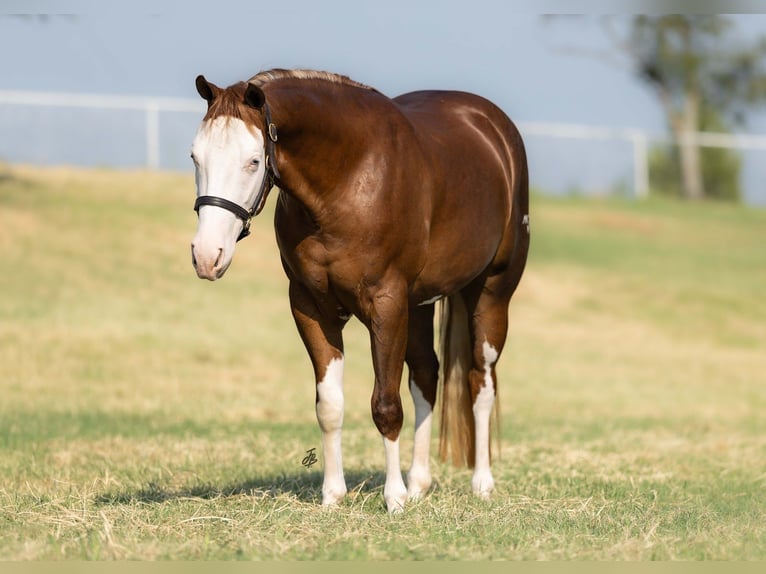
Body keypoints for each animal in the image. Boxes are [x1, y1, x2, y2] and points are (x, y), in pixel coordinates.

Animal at [189, 69, 530, 514]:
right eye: (195, 157)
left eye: (253, 161)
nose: (206, 255)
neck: (348, 180)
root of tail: (494, 128)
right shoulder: (310, 307)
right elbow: (330, 405)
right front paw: (334, 495)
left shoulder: (385, 305)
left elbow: (385, 405)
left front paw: (394, 499)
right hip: (419, 305)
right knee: (427, 378)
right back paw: (419, 483)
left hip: (490, 295)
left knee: (481, 381)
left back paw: (481, 483)